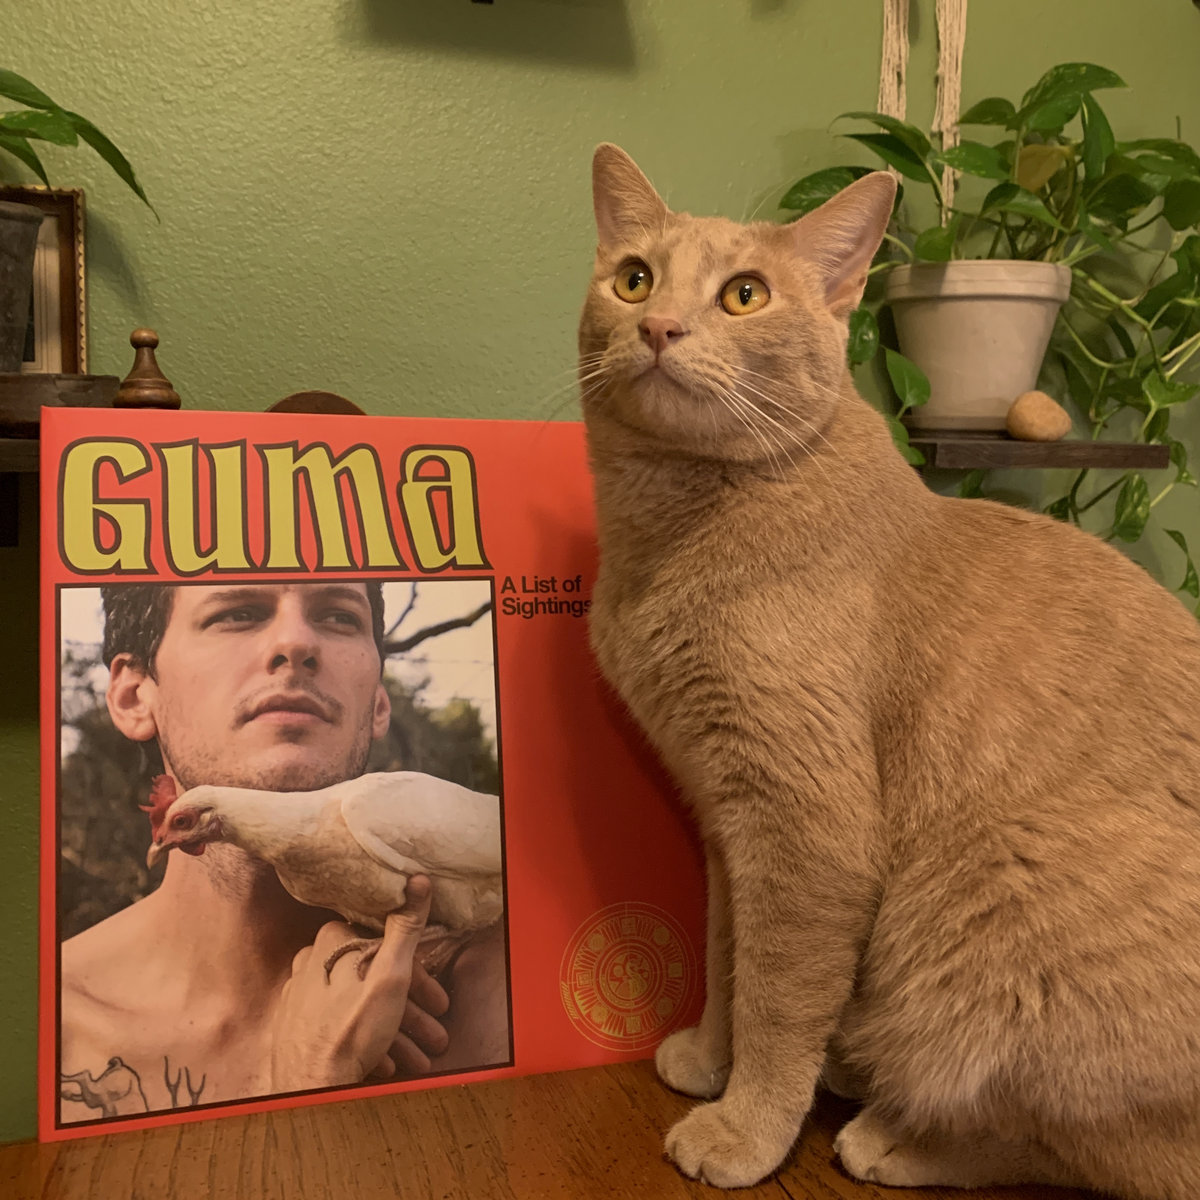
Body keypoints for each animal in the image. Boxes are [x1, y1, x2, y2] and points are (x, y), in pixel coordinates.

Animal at [577, 142, 1200, 1197]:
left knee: (1097, 1147)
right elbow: (727, 952)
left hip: (993, 881)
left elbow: (780, 995)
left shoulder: (806, 828)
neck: (671, 530)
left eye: (745, 295)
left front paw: (747, 1127)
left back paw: (896, 1135)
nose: (659, 326)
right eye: (633, 279)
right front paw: (709, 1057)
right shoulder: (725, 817)